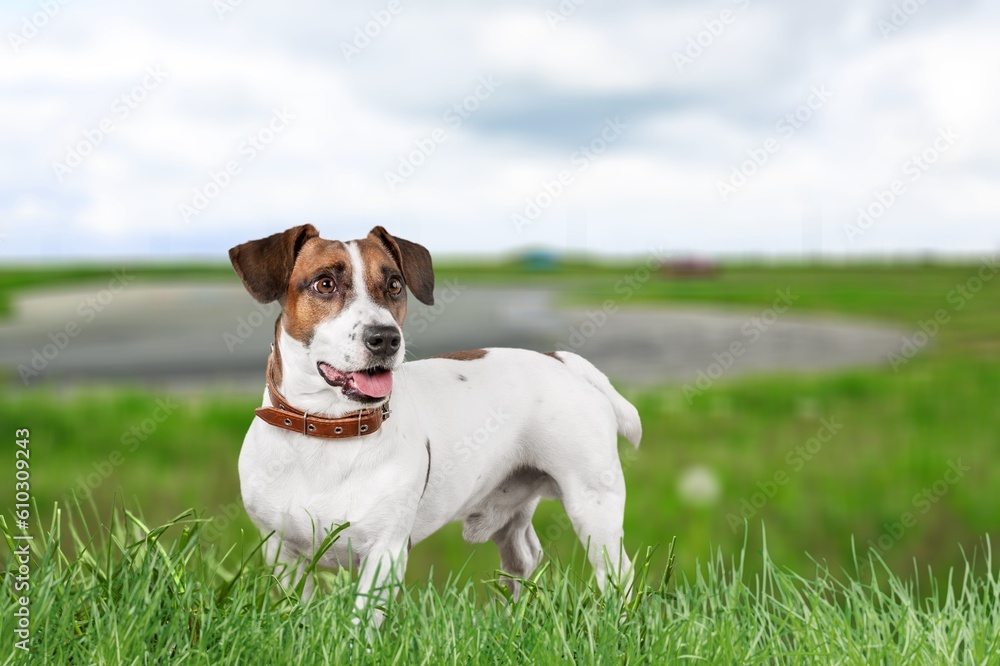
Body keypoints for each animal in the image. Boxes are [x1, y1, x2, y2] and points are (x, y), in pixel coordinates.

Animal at [229, 224, 640, 624]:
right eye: (325, 283)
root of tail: (558, 358)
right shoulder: (282, 553)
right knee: (523, 560)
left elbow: (361, 621)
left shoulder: (385, 552)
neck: (329, 428)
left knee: (616, 573)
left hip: (593, 505)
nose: (386, 338)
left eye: (395, 284)